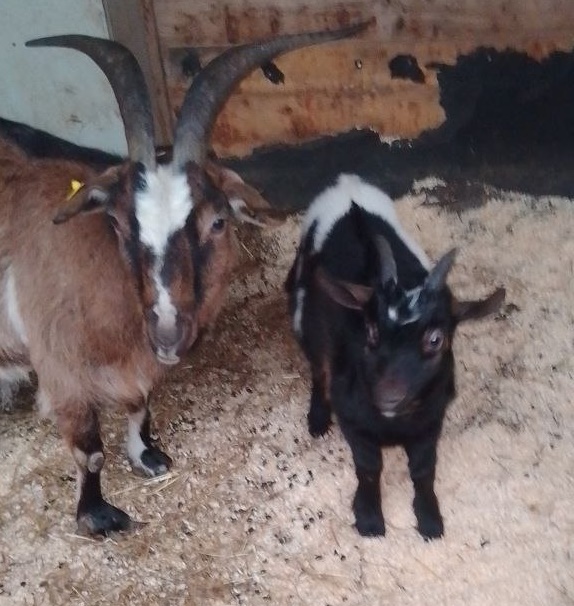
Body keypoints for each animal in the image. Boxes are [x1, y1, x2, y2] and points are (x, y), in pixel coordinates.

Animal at [0, 23, 370, 536]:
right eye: (116, 222)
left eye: (217, 222)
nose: (168, 329)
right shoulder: (63, 373)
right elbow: (90, 452)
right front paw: (98, 515)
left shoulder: (138, 367)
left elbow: (140, 405)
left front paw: (147, 457)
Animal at [286, 174, 505, 539]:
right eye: (371, 331)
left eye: (435, 339)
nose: (387, 396)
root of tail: (347, 187)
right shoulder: (354, 421)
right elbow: (368, 467)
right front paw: (370, 518)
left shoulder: (431, 421)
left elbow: (423, 468)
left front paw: (430, 518)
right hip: (305, 313)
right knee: (318, 364)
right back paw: (317, 418)